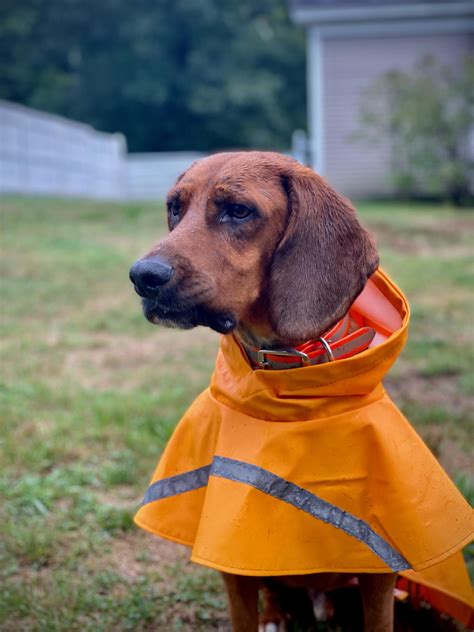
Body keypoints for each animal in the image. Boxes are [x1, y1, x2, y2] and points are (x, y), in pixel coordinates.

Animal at [129, 151, 474, 628]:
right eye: (174, 208)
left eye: (239, 210)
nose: (142, 276)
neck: (289, 385)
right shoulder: (231, 564)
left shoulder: (381, 573)